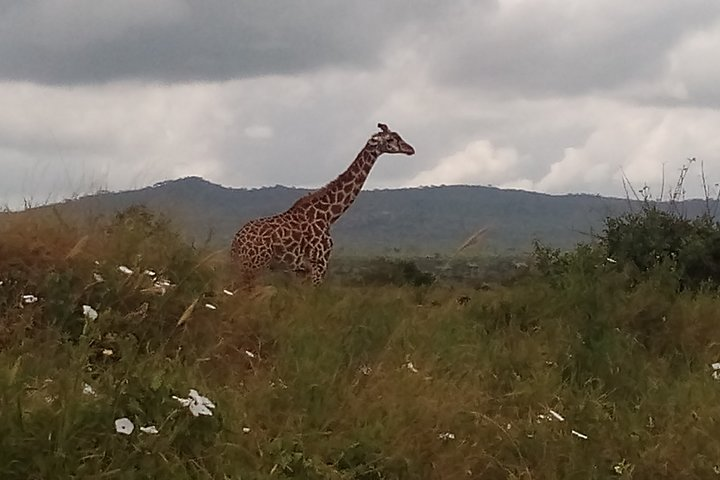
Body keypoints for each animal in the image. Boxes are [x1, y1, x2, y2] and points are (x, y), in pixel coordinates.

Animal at [230, 123, 415, 287]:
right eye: (391, 139)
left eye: (398, 136)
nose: (410, 149)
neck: (328, 215)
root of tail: (236, 242)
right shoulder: (319, 263)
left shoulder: (301, 270)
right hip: (253, 265)